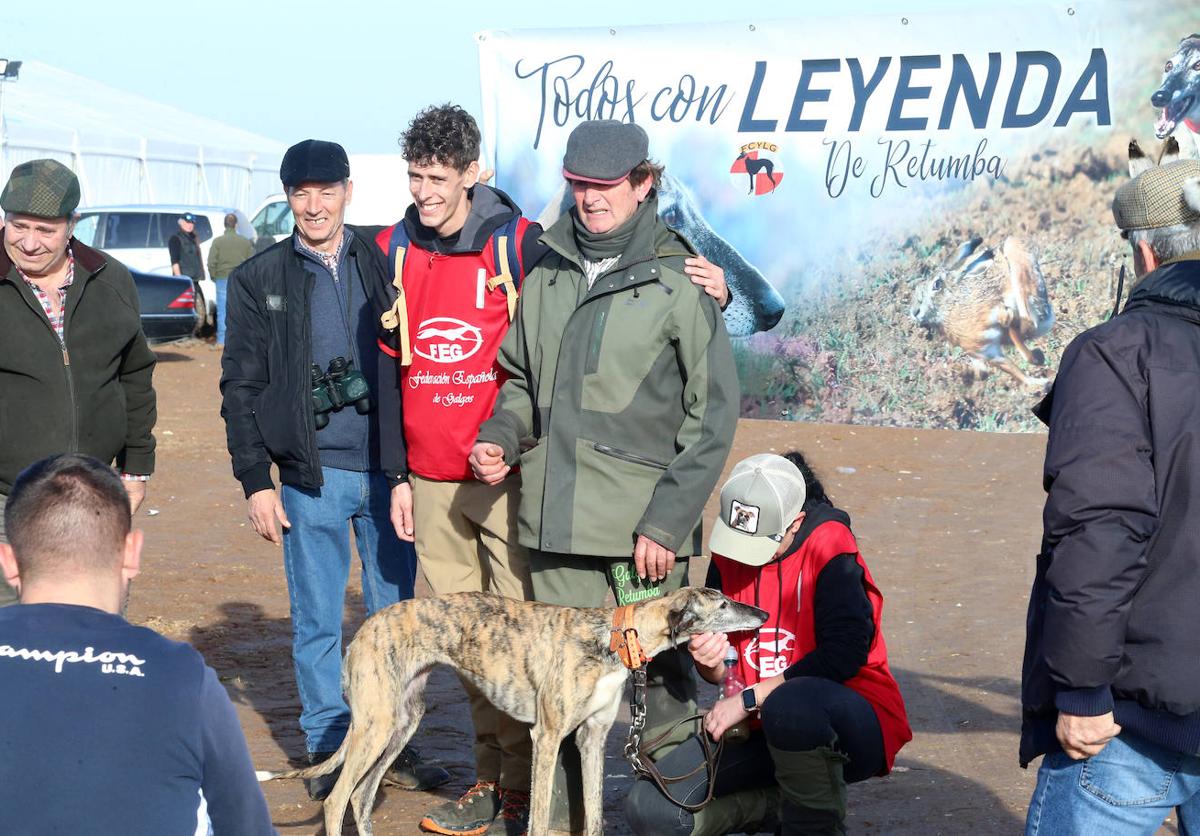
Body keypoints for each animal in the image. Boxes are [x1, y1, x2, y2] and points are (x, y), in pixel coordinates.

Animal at [259, 587, 772, 834]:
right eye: (722, 604)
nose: (763, 614)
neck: (612, 636)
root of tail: (364, 630)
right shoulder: (546, 737)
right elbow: (540, 820)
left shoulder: (591, 739)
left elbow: (594, 819)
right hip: (376, 726)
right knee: (335, 801)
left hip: (401, 723)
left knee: (360, 799)